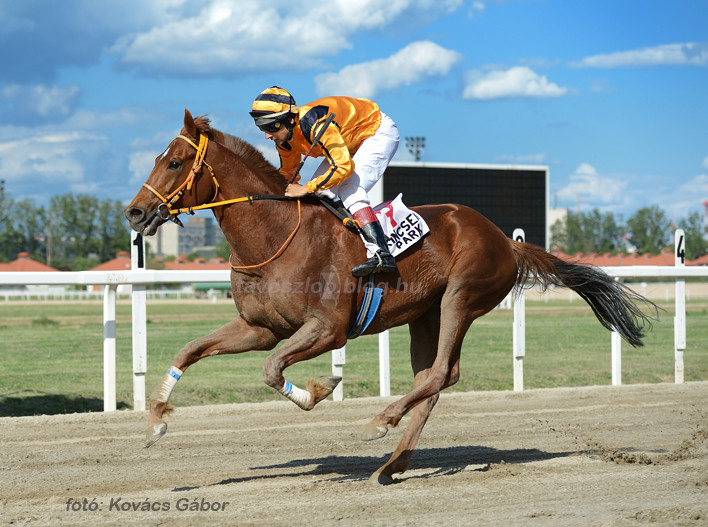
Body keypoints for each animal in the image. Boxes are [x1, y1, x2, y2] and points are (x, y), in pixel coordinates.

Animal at [123, 110, 660, 486]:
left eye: (174, 162)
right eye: (155, 159)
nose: (134, 212)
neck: (275, 235)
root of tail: (507, 240)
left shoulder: (327, 329)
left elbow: (273, 370)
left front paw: (319, 390)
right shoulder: (261, 328)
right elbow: (188, 351)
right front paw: (154, 424)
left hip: (461, 298)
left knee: (442, 373)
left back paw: (382, 422)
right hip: (424, 314)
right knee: (433, 380)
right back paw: (392, 464)